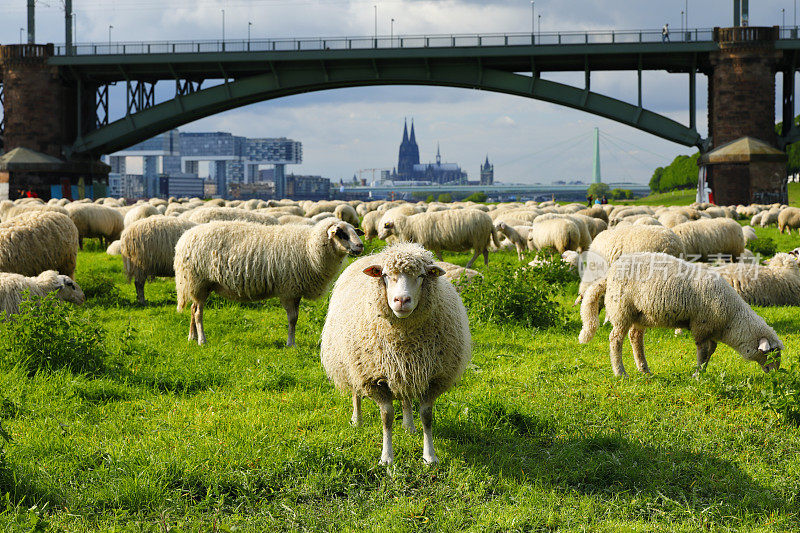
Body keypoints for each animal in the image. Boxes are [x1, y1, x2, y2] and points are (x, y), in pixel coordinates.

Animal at [176, 219, 366, 348]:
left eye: (355, 231)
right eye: (341, 233)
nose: (360, 246)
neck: (310, 248)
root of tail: (185, 237)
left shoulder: (296, 290)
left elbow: (296, 319)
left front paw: (291, 341)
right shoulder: (288, 290)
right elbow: (292, 319)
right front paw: (291, 344)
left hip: (198, 285)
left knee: (193, 309)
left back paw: (191, 337)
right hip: (198, 281)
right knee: (198, 313)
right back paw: (202, 340)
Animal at [318, 243, 468, 464]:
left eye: (422, 275)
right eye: (386, 275)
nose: (402, 300)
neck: (404, 340)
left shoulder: (432, 377)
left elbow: (427, 417)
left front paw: (430, 456)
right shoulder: (374, 378)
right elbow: (387, 417)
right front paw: (387, 457)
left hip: (404, 371)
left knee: (406, 398)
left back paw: (409, 425)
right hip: (352, 364)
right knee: (356, 392)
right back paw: (357, 420)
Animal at [580, 251, 784, 376]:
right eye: (773, 353)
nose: (775, 373)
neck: (732, 319)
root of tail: (610, 272)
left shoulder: (711, 330)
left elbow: (711, 351)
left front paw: (702, 371)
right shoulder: (701, 326)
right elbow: (703, 352)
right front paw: (697, 374)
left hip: (640, 313)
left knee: (635, 337)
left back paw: (644, 369)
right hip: (622, 308)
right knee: (615, 339)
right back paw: (620, 372)